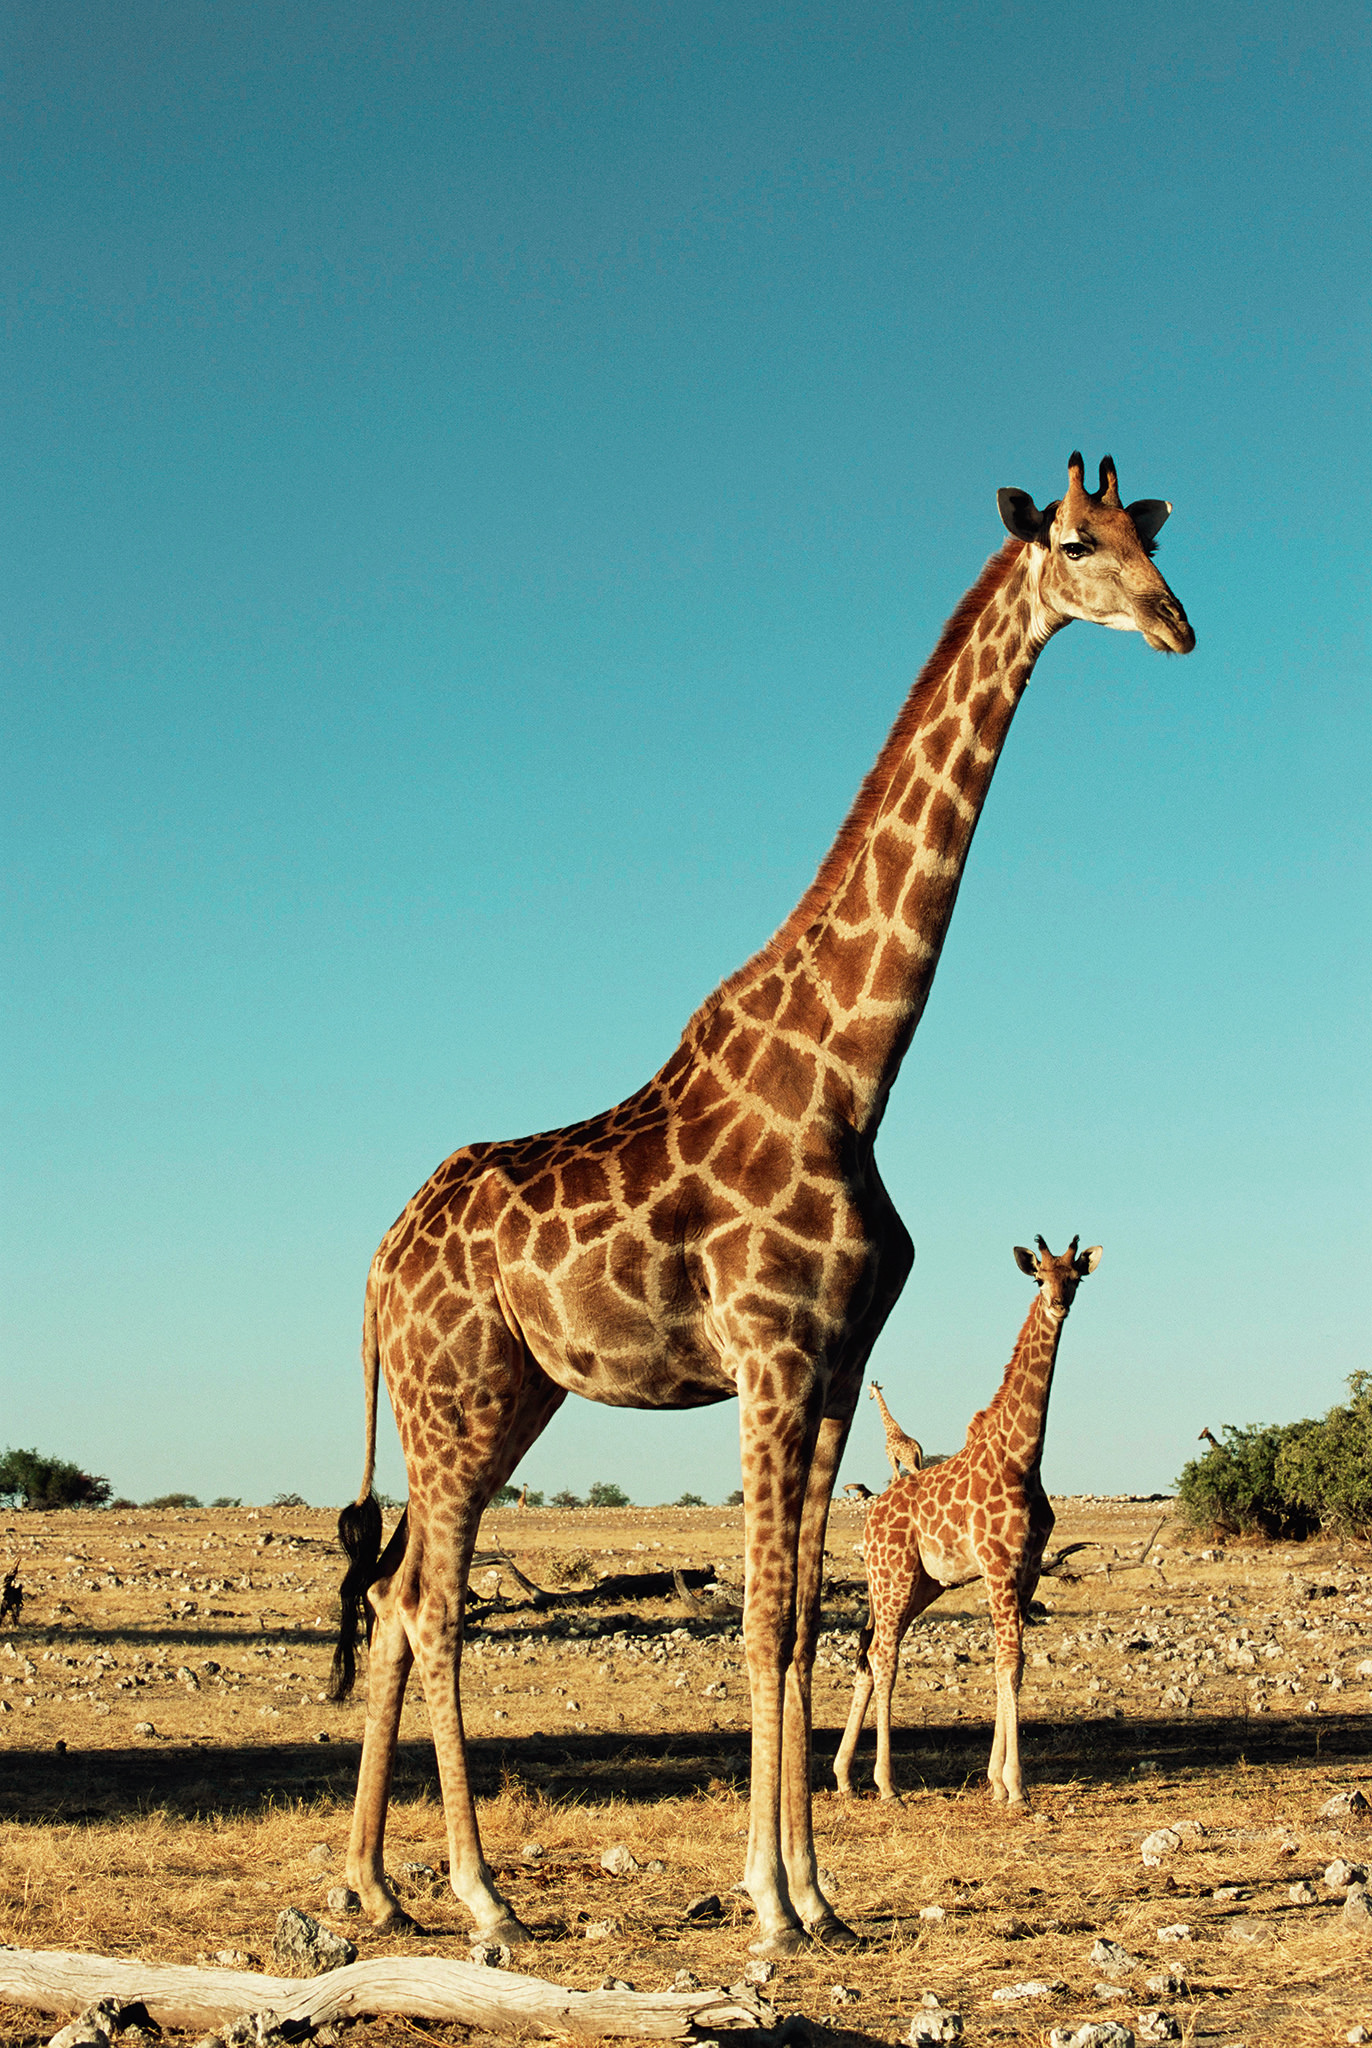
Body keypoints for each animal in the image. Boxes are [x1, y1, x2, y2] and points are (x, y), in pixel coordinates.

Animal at [834, 1237, 1101, 1807]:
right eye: (1039, 1277)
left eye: (1075, 1278)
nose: (1059, 1304)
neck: (1022, 1457)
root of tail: (871, 1516)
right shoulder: (999, 1566)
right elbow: (1008, 1663)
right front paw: (1015, 1786)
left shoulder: (1026, 1571)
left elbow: (1010, 1667)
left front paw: (996, 1782)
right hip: (892, 1576)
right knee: (884, 1656)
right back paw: (886, 1783)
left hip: (922, 1584)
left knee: (868, 1653)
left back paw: (844, 1776)